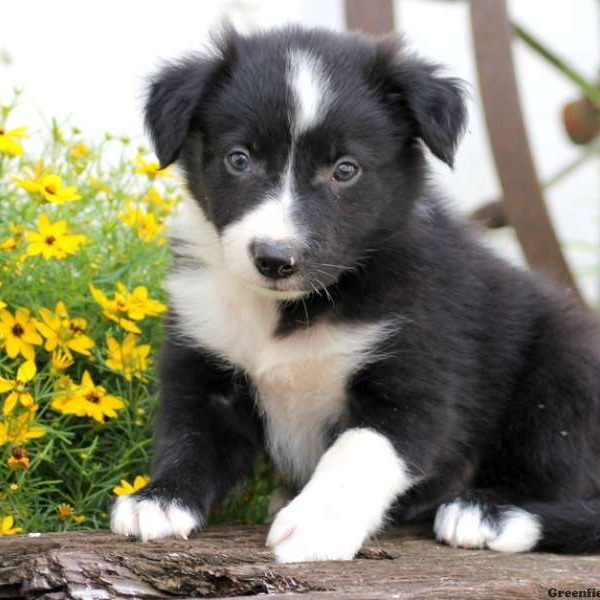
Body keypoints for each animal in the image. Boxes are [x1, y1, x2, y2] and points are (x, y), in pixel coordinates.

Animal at [110, 25, 600, 564]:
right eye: (239, 160)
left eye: (345, 170)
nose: (275, 259)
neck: (292, 309)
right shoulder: (205, 361)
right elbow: (192, 436)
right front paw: (160, 500)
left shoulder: (414, 375)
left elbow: (358, 452)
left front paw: (316, 524)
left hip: (567, 363)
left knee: (560, 474)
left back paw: (486, 510)